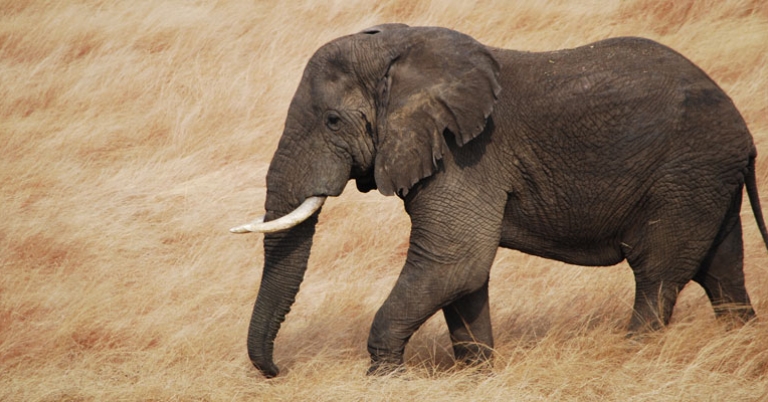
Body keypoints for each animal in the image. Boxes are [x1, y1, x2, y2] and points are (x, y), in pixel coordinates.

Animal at [230, 24, 768, 378]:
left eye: (332, 121)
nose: (278, 371)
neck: (403, 52)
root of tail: (744, 133)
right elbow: (461, 276)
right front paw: (477, 375)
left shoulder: (467, 155)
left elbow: (453, 261)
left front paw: (386, 379)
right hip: (708, 180)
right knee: (723, 272)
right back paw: (739, 341)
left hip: (686, 175)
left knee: (658, 277)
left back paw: (634, 358)